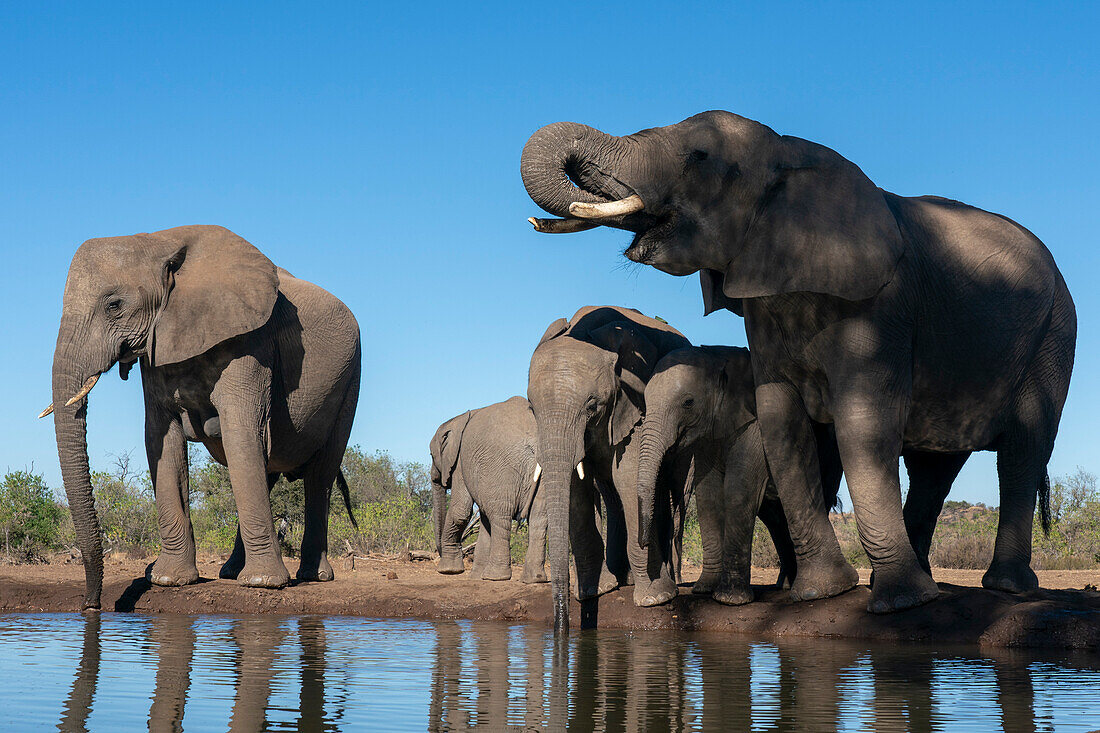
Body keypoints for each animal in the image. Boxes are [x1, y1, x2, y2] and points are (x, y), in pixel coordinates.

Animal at [40, 222, 360, 603]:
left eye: (114, 305)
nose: (92, 605)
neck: (158, 242)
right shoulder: (158, 346)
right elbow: (162, 441)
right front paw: (169, 580)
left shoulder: (250, 342)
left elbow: (241, 434)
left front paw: (264, 584)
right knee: (268, 469)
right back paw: (231, 573)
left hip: (349, 378)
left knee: (319, 474)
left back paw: (312, 576)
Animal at [429, 394, 550, 581]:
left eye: (431, 455)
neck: (460, 418)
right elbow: (484, 518)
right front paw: (475, 578)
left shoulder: (460, 462)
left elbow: (460, 511)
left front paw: (449, 571)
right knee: (539, 518)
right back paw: (534, 580)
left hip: (501, 467)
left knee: (500, 515)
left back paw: (497, 577)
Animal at [528, 301, 690, 629]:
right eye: (533, 408)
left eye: (592, 406)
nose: (561, 627)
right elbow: (577, 489)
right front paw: (592, 593)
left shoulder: (637, 400)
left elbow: (628, 475)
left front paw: (656, 599)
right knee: (613, 495)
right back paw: (621, 580)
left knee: (665, 490)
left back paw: (666, 583)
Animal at [638, 345, 840, 603]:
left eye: (688, 402)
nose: (643, 543)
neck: (716, 357)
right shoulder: (709, 433)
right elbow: (708, 493)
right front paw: (704, 589)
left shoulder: (755, 424)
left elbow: (739, 485)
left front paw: (730, 599)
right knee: (774, 516)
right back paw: (785, 584)